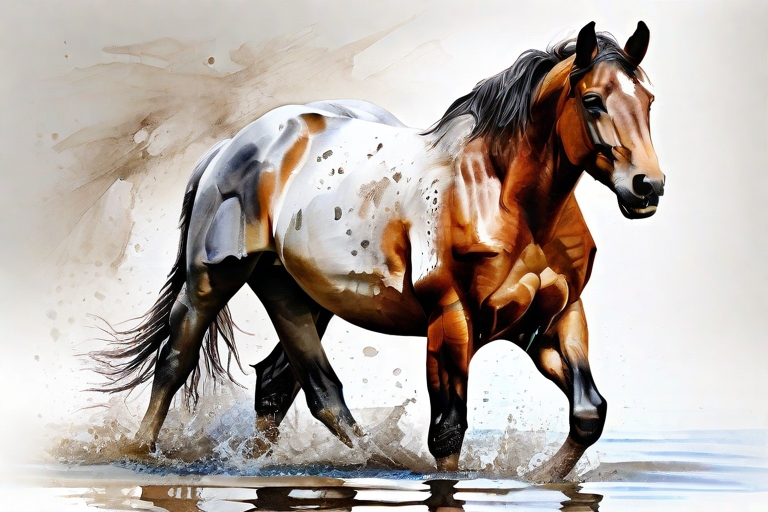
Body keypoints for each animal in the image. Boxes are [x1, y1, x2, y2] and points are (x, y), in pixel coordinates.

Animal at [93, 21, 664, 482]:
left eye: (649, 101)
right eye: (592, 100)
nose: (647, 188)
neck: (505, 199)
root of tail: (231, 147)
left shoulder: (553, 317)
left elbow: (588, 413)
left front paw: (542, 478)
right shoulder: (451, 320)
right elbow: (447, 433)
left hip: (297, 294)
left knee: (297, 387)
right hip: (212, 279)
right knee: (176, 361)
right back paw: (141, 453)